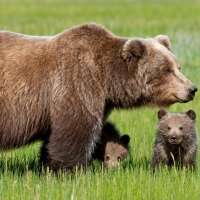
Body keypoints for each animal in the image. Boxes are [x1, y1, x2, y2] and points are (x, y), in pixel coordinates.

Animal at [0, 23, 197, 170]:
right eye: (166, 70)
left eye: (178, 66)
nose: (192, 89)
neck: (107, 79)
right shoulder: (77, 83)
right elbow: (76, 130)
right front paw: (68, 171)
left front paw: (47, 166)